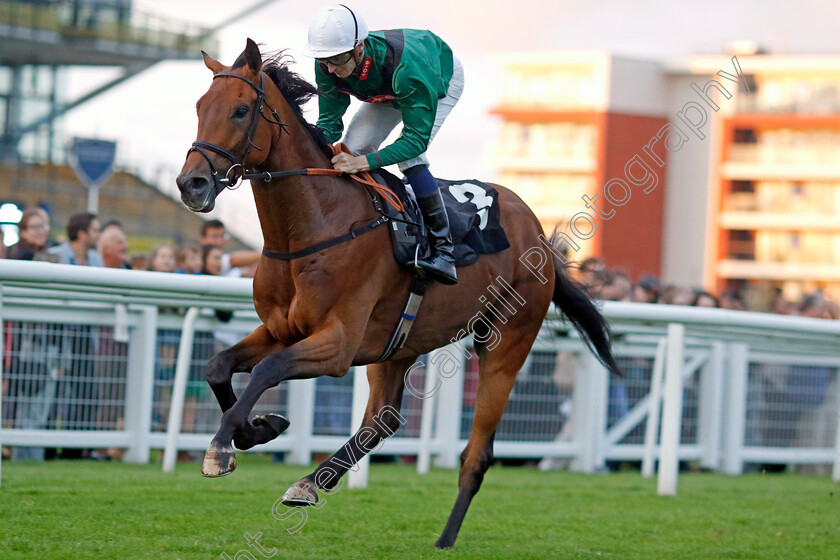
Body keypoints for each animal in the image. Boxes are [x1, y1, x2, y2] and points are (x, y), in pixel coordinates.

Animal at [177, 40, 620, 552]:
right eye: (199, 108)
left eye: (241, 110)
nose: (191, 184)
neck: (314, 223)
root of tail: (538, 234)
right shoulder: (281, 329)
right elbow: (219, 366)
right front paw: (258, 430)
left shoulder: (338, 343)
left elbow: (267, 370)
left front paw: (222, 447)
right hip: (398, 345)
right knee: (382, 422)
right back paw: (310, 482)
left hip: (506, 345)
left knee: (476, 453)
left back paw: (444, 538)